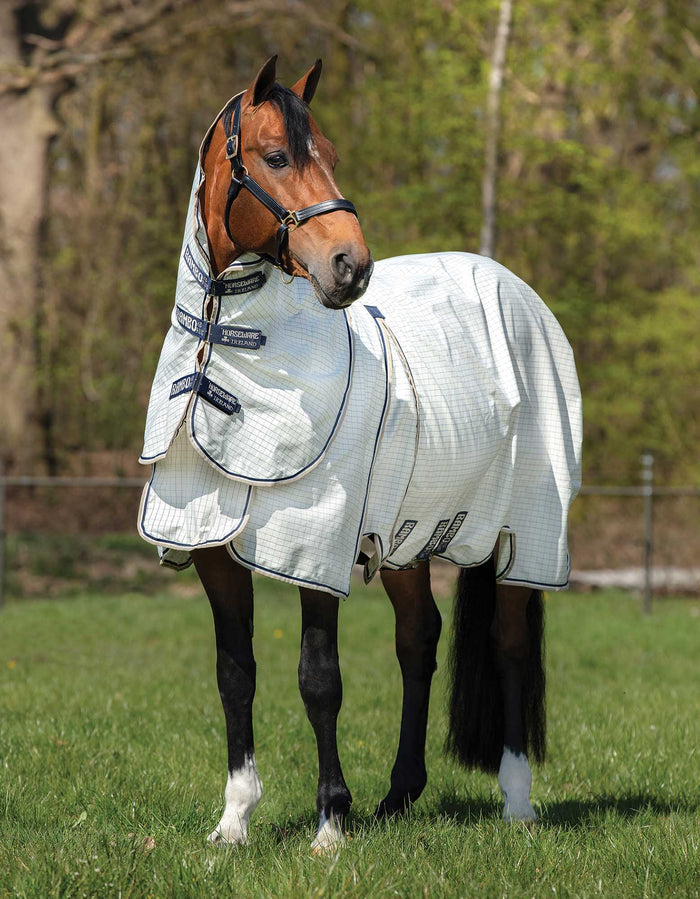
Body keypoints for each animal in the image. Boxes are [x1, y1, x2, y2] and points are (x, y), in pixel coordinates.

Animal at [138, 56, 582, 852]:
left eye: (333, 154)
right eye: (276, 156)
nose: (350, 267)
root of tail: (517, 292)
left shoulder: (313, 545)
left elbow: (319, 679)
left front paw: (329, 822)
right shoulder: (214, 551)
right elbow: (235, 674)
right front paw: (234, 821)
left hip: (525, 535)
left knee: (507, 645)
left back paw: (517, 802)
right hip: (409, 538)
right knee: (419, 639)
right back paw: (401, 795)